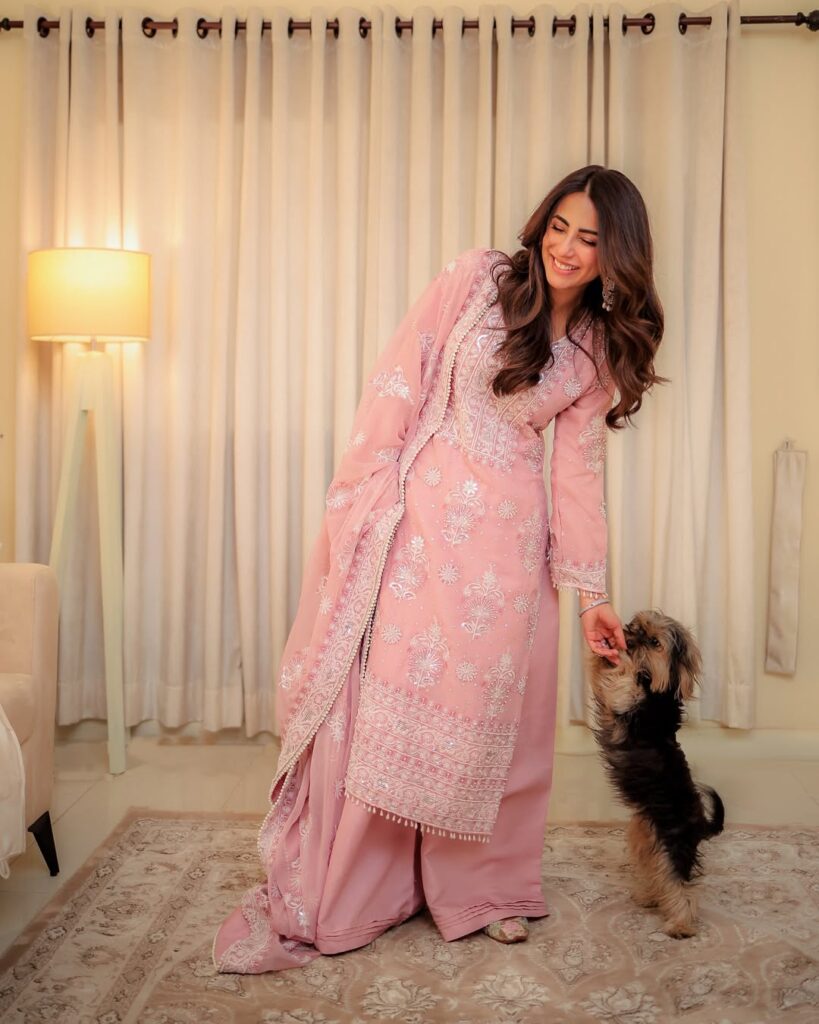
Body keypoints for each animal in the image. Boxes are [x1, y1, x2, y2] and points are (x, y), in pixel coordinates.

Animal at [587, 610, 724, 938]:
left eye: (654, 642)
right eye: (636, 627)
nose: (628, 634)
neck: (658, 693)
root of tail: (700, 824)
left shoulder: (629, 698)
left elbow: (622, 679)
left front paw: (618, 658)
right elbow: (604, 676)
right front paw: (603, 652)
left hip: (673, 844)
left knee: (680, 887)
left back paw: (680, 925)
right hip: (648, 836)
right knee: (658, 874)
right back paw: (650, 898)